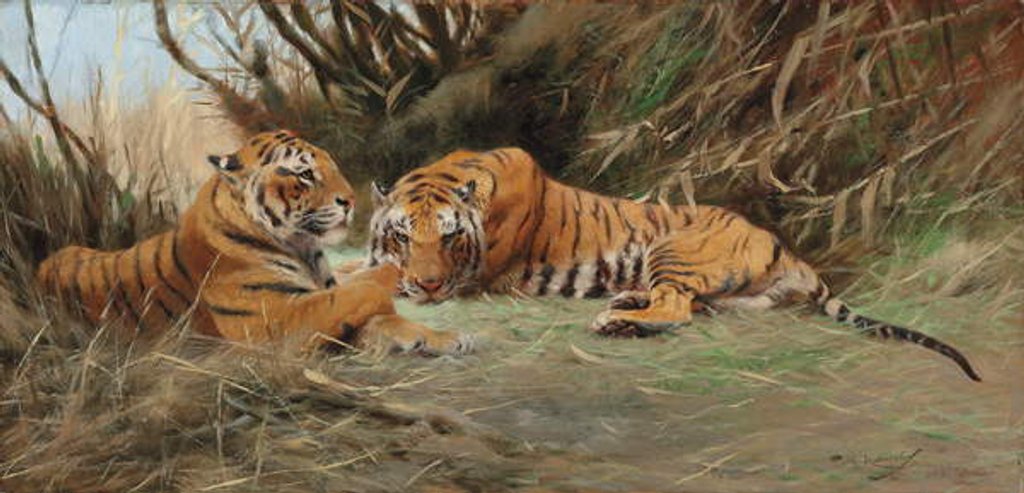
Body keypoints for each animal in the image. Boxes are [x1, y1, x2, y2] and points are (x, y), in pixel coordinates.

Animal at [36, 130, 470, 355]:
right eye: (305, 174)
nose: (350, 201)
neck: (303, 247)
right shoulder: (275, 320)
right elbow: (353, 294)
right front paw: (390, 275)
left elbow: (370, 313)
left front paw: (442, 337)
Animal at [364, 147, 981, 381]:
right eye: (402, 235)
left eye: (451, 239)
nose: (427, 284)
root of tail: (784, 246)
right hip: (731, 294)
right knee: (693, 307)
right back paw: (624, 303)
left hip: (672, 249)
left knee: (676, 308)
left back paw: (616, 320)